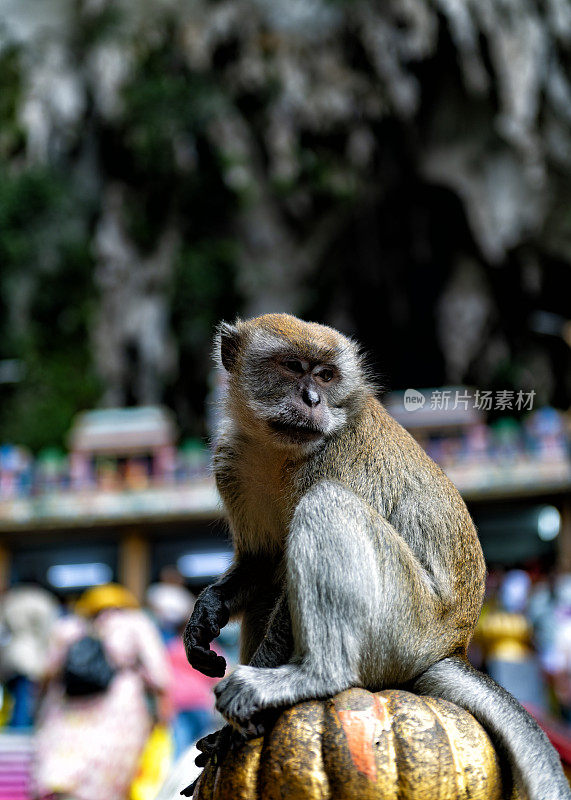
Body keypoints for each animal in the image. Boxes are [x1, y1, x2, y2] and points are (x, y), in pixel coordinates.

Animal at [185, 316, 568, 796]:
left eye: (326, 375)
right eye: (293, 367)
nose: (312, 399)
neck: (278, 451)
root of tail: (452, 645)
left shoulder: (335, 454)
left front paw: (229, 727)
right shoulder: (230, 461)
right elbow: (262, 562)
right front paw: (206, 613)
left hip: (404, 625)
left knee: (327, 504)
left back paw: (315, 676)